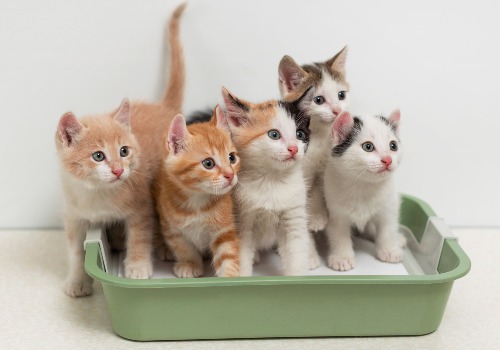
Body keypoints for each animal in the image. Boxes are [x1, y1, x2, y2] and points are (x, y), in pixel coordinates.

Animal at [55, 4, 188, 296]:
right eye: (98, 156)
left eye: (124, 151)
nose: (118, 170)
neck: (97, 195)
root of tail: (164, 107)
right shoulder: (74, 217)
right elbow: (75, 251)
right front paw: (77, 280)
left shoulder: (141, 206)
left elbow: (139, 235)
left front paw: (137, 268)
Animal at [155, 105, 241, 278]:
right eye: (208, 163)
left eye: (232, 158)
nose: (230, 175)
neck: (197, 201)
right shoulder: (172, 228)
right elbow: (183, 247)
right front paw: (189, 264)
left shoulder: (224, 229)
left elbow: (227, 252)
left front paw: (230, 276)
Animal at [280, 46, 350, 235]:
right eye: (318, 100)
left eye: (341, 95)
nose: (338, 110)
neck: (317, 137)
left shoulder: (322, 168)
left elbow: (318, 190)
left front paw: (317, 215)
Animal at [324, 110, 406, 272]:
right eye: (368, 146)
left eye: (393, 145)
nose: (387, 160)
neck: (363, 185)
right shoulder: (335, 211)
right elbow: (338, 233)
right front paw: (342, 258)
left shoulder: (389, 205)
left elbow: (387, 227)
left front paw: (389, 250)